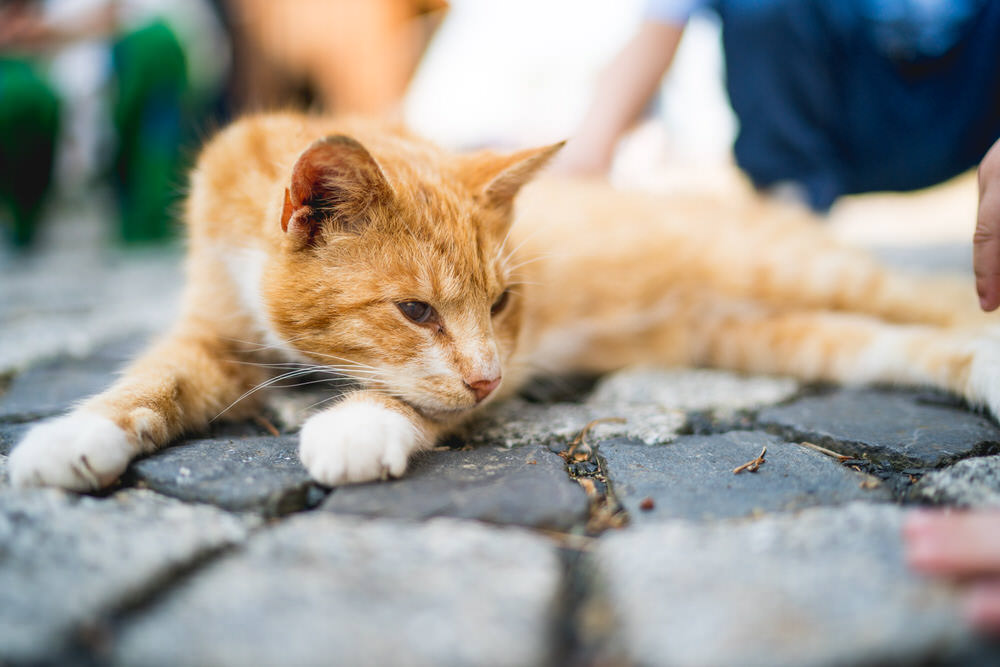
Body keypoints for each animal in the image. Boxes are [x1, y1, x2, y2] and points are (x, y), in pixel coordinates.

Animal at [9, 112, 1000, 490]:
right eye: (415, 311)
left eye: (502, 302)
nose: (486, 376)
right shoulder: (207, 331)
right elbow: (154, 377)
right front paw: (74, 434)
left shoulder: (506, 371)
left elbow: (418, 400)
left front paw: (355, 422)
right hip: (767, 334)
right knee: (885, 342)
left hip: (803, 274)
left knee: (934, 298)